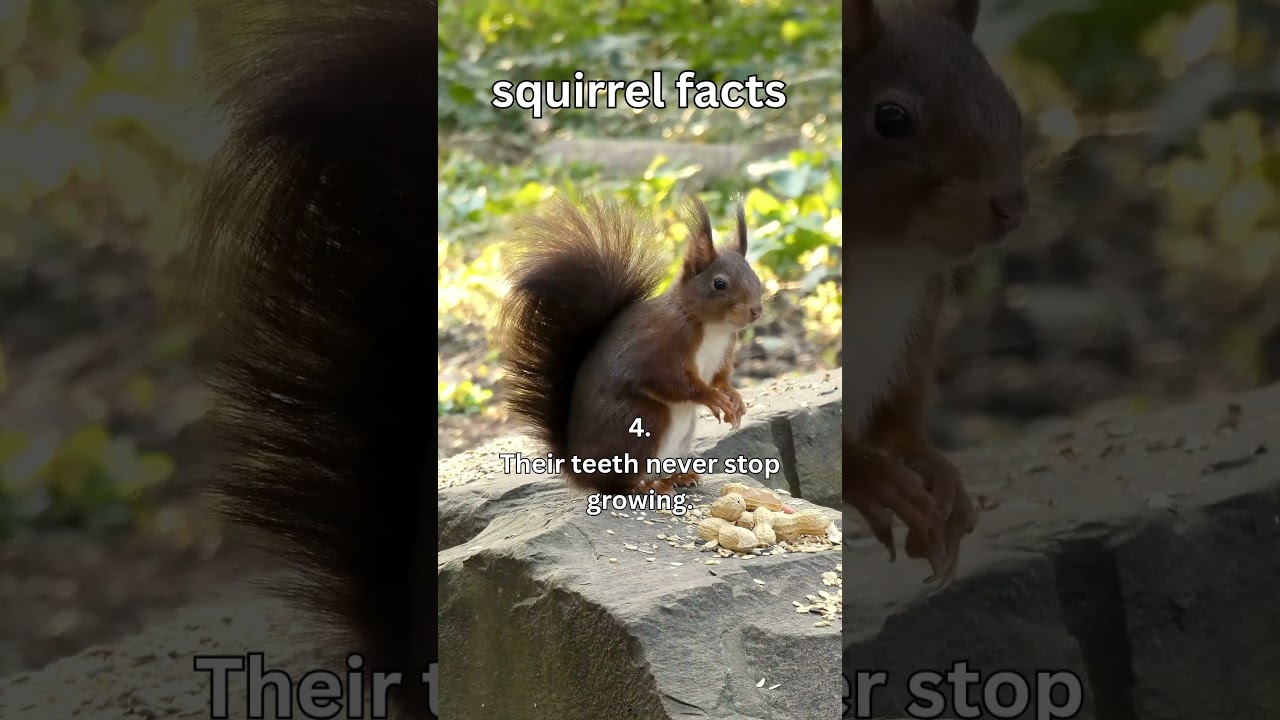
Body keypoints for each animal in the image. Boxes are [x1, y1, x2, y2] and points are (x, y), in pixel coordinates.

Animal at [495, 195, 764, 495]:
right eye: (719, 283)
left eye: (754, 276)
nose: (756, 310)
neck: (713, 329)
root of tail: (580, 470)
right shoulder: (661, 346)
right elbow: (673, 382)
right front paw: (714, 398)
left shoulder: (725, 351)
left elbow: (721, 378)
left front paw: (735, 399)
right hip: (643, 422)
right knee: (618, 484)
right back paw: (647, 487)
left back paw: (677, 477)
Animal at [842, 0, 1030, 585]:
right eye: (891, 119)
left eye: (1010, 107)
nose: (1012, 207)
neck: (881, 265)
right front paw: (871, 477)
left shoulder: (912, 331)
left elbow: (899, 422)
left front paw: (940, 473)